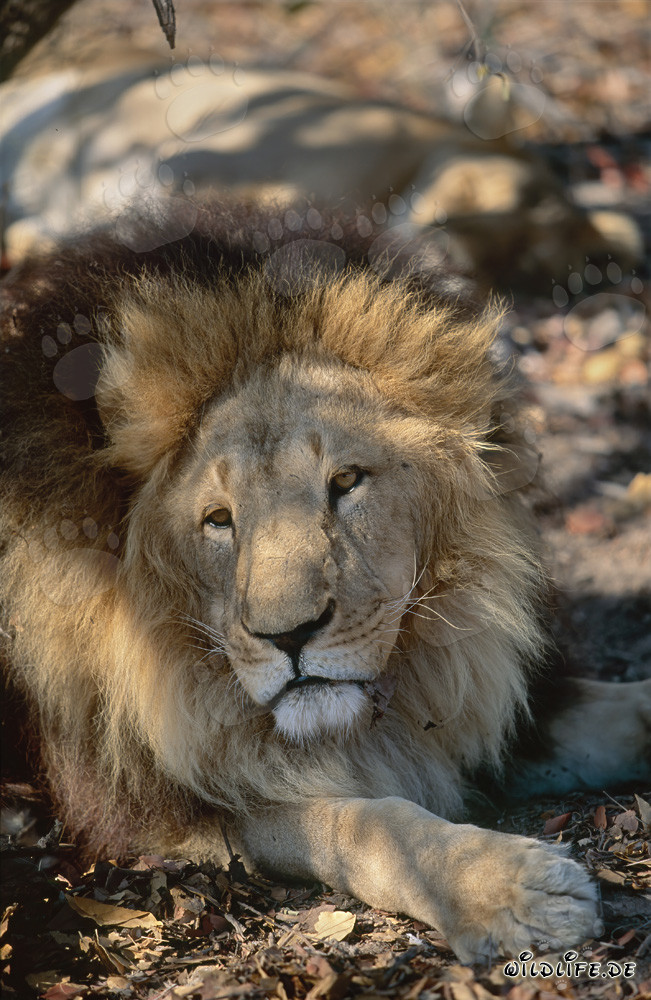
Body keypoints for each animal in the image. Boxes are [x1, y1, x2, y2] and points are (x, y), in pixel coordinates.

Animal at [1, 204, 649, 964]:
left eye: (346, 482)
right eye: (218, 521)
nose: (290, 636)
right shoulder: (175, 818)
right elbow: (371, 823)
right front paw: (513, 891)